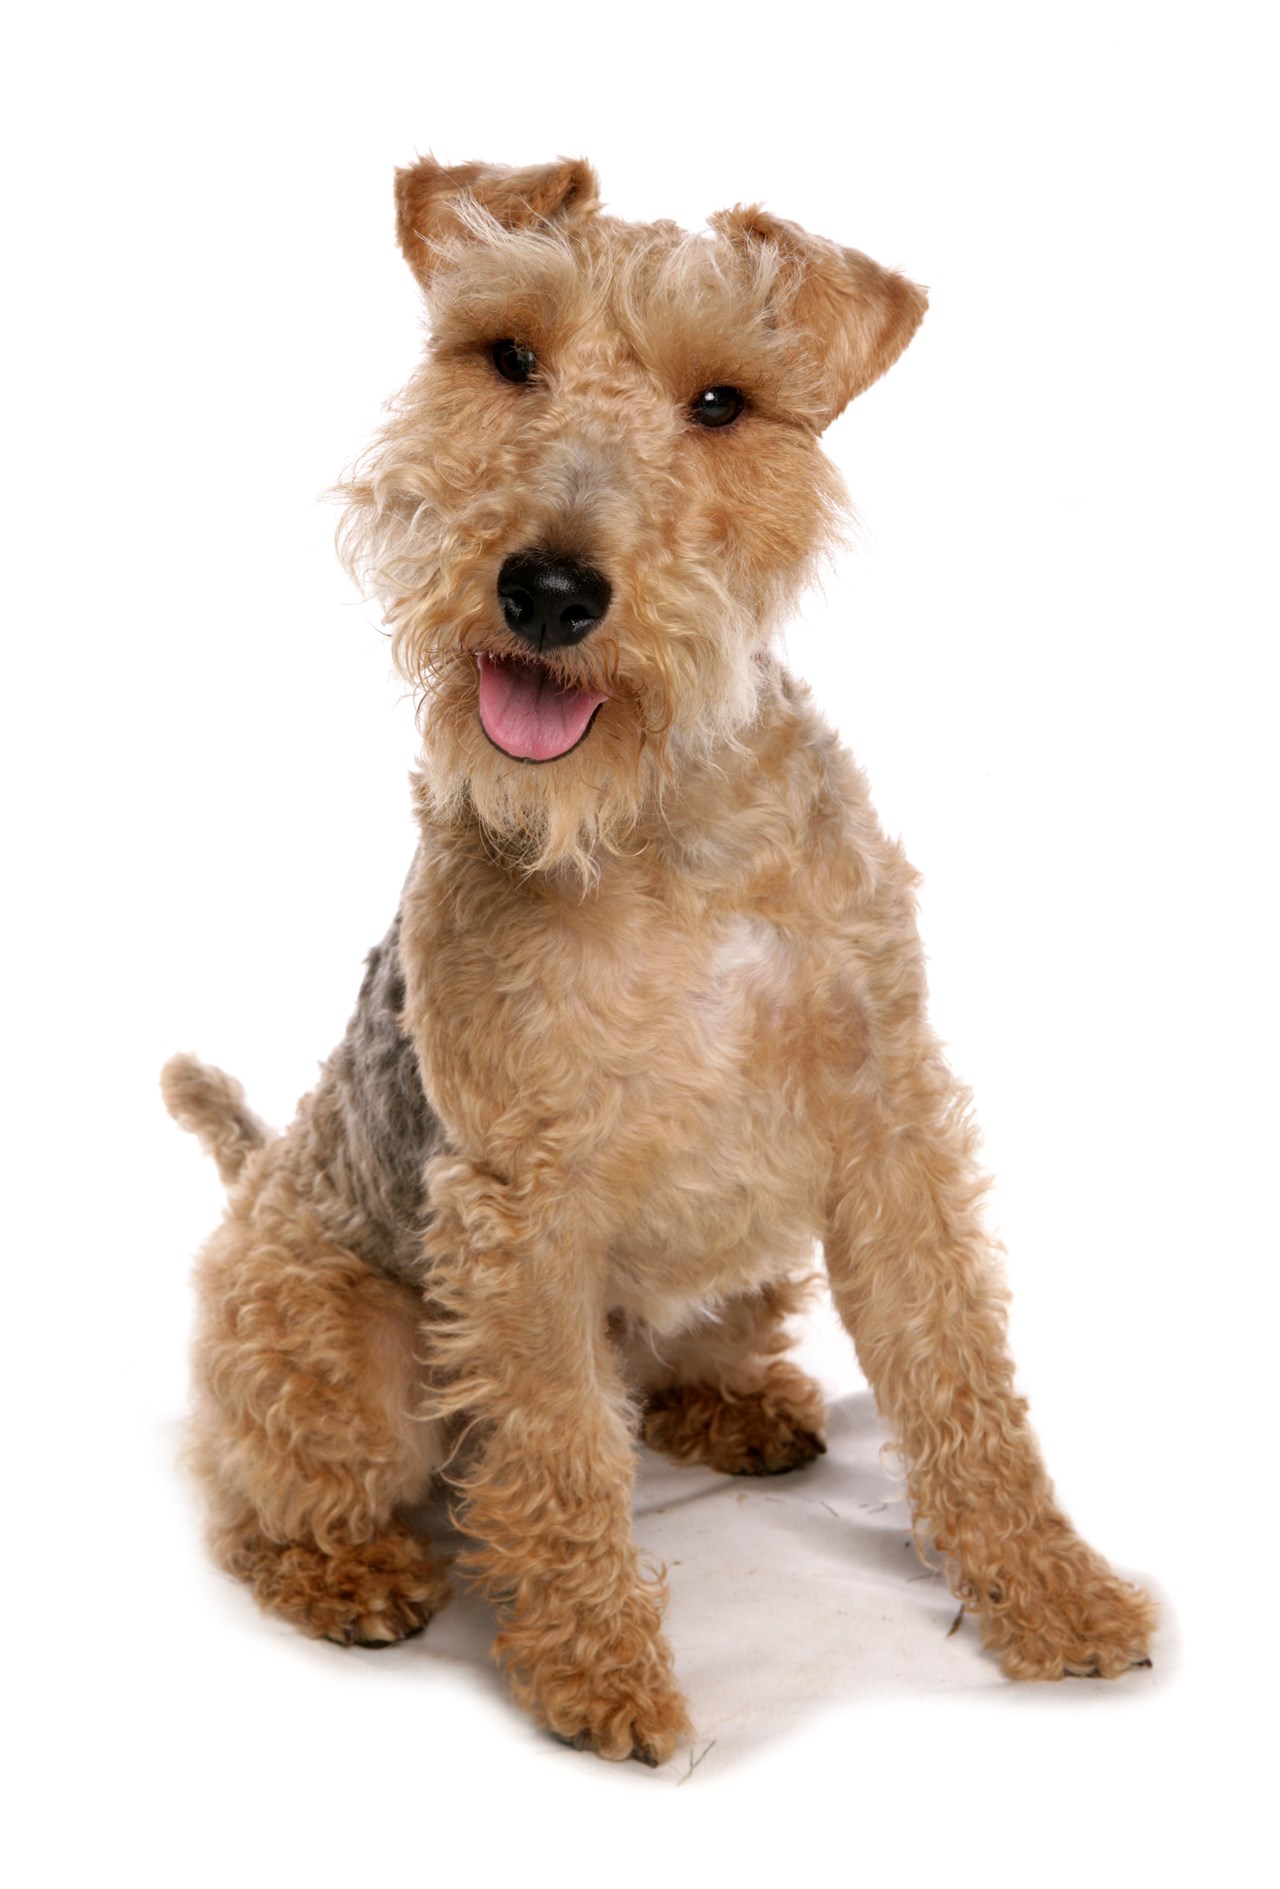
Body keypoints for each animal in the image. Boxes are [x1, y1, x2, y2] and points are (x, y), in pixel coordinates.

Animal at [165, 154, 1155, 1760]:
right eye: (506, 355)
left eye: (722, 403)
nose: (550, 592)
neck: (662, 826)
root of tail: (258, 1176)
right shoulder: (521, 1201)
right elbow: (558, 1454)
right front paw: (602, 1677)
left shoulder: (887, 1126)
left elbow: (962, 1380)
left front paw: (1059, 1599)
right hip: (325, 1337)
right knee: (274, 1494)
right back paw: (354, 1575)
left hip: (739, 1261)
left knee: (675, 1366)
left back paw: (739, 1409)